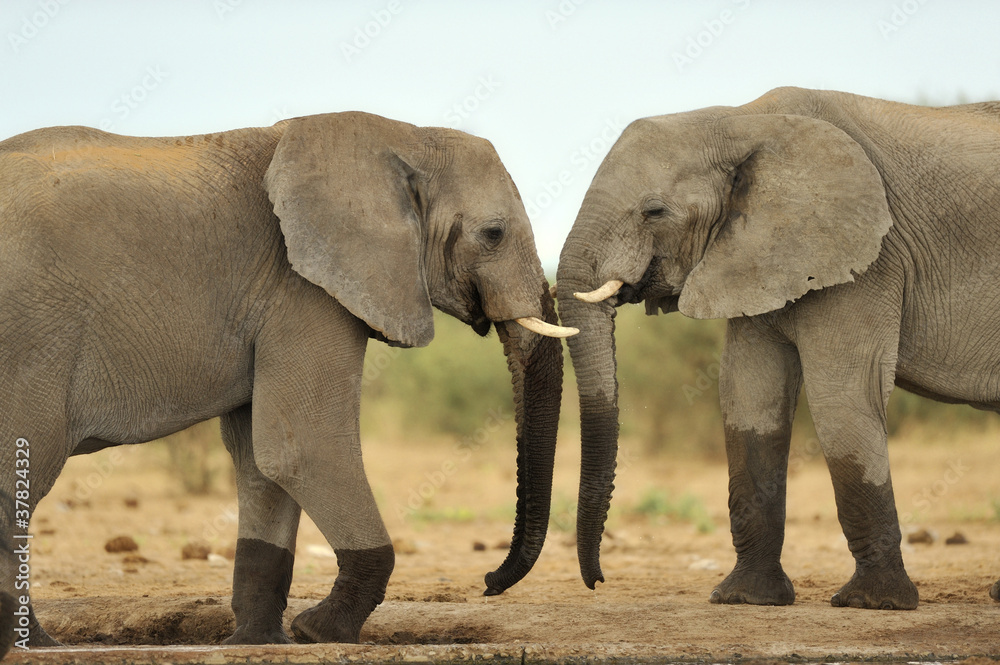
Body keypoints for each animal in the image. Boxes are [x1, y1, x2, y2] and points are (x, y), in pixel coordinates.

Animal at [0, 111, 577, 657]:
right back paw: (37, 645)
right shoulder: (303, 288)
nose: (488, 582)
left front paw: (260, 641)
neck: (403, 134)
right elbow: (302, 448)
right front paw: (318, 631)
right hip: (32, 342)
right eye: (493, 234)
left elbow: (261, 459)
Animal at [556, 86, 1000, 611]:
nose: (597, 580)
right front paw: (744, 599)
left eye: (654, 211)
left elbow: (841, 399)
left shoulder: (869, 257)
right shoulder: (751, 253)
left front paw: (871, 604)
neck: (739, 120)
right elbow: (749, 398)